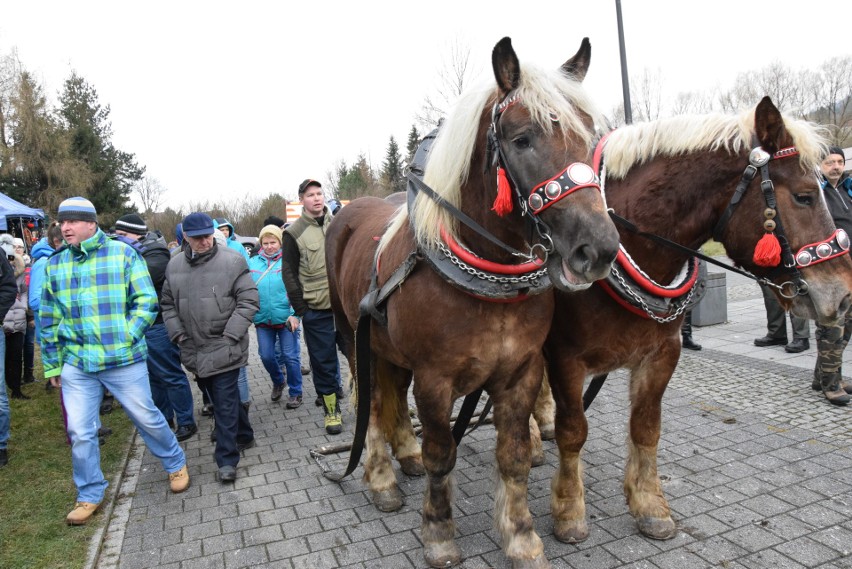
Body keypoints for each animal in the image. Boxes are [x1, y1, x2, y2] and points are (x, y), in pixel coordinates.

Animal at [326, 37, 620, 564]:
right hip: (353, 339)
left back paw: (406, 455)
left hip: (389, 349)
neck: (487, 279)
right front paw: (438, 531)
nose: (599, 249)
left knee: (391, 396)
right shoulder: (436, 379)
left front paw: (520, 534)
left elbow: (514, 455)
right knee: (372, 403)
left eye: (590, 138)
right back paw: (381, 478)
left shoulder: (521, 372)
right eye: (522, 139)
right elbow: (443, 455)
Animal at [544, 95, 852, 544]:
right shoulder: (564, 358)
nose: (844, 295)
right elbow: (573, 430)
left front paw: (648, 503)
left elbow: (646, 427)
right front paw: (568, 509)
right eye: (805, 196)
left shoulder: (661, 354)